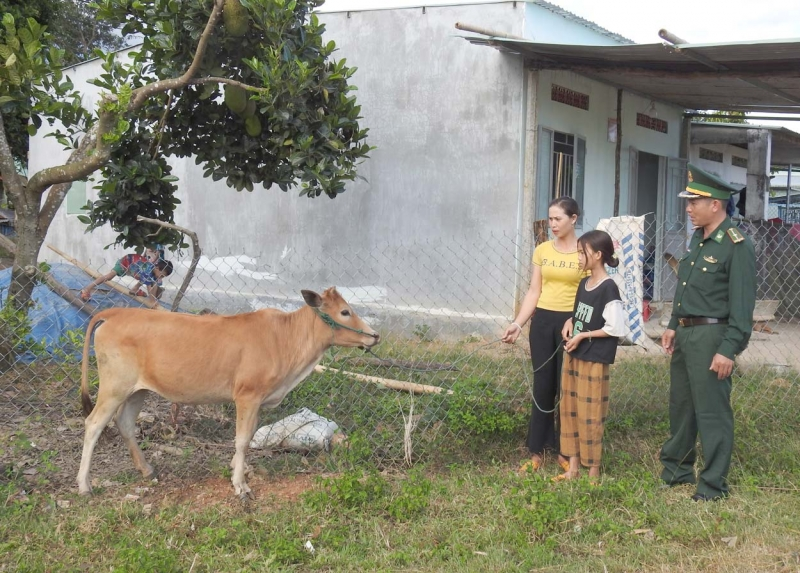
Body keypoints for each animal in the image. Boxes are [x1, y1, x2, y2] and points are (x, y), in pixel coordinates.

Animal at [79, 286, 380, 496]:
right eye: (345, 312)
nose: (375, 336)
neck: (285, 338)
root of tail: (114, 313)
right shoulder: (247, 395)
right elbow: (242, 439)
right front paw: (240, 485)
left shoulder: (258, 400)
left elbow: (246, 438)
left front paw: (239, 470)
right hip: (114, 386)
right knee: (93, 424)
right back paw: (84, 485)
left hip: (137, 390)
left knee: (125, 423)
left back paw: (147, 470)